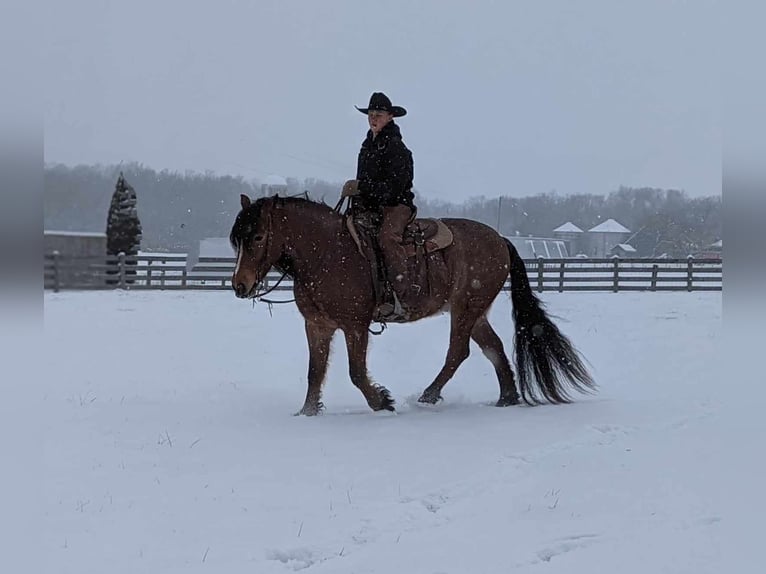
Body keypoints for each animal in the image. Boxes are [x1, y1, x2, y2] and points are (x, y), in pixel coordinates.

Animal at [231, 196, 596, 416]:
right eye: (237, 240)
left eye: (258, 237)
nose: (239, 285)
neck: (328, 254)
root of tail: (501, 240)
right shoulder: (317, 325)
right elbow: (314, 372)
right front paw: (307, 413)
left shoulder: (355, 325)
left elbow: (356, 372)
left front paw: (382, 401)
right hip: (475, 311)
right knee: (492, 347)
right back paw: (506, 398)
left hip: (466, 307)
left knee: (458, 351)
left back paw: (428, 396)